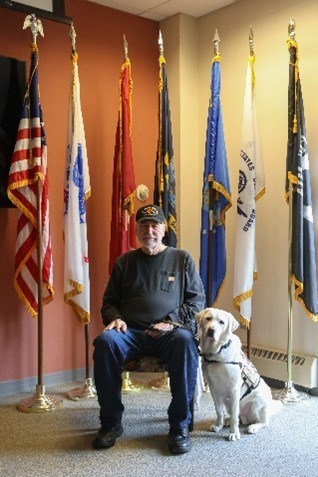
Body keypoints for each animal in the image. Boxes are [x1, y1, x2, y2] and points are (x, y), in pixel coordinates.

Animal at [196, 306, 284, 440]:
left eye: (221, 322)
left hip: (256, 404)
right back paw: (227, 421)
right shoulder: (213, 389)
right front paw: (218, 425)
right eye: (208, 318)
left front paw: (234, 433)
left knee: (262, 421)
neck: (217, 353)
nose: (211, 330)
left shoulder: (234, 389)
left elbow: (234, 416)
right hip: (228, 401)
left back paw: (254, 426)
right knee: (239, 417)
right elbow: (219, 411)